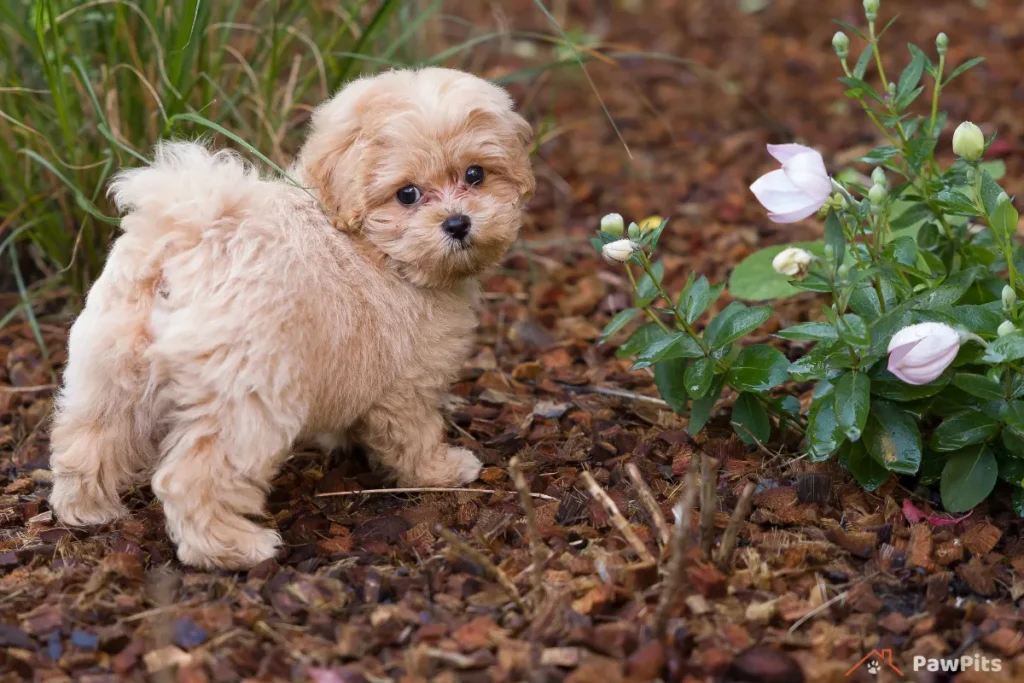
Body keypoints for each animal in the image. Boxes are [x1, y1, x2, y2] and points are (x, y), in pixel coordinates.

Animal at [48, 69, 536, 573]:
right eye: (408, 195)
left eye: (475, 174)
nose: (457, 223)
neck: (371, 246)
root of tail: (188, 239)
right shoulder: (408, 383)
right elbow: (413, 434)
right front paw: (441, 470)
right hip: (247, 401)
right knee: (193, 476)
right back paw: (232, 548)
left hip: (110, 370)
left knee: (85, 437)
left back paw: (86, 509)